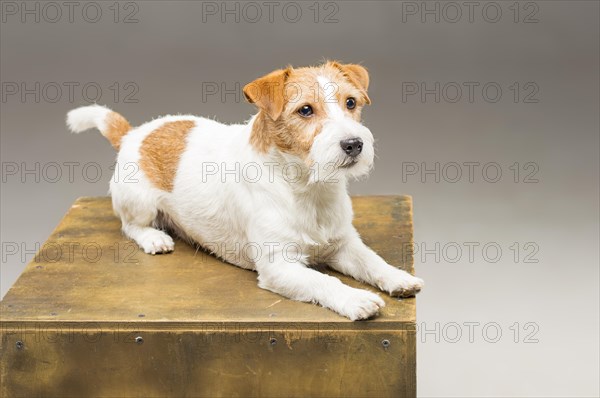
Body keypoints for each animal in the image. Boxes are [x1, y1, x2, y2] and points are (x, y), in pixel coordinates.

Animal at [67, 60, 422, 320]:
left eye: (351, 102)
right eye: (305, 110)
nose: (354, 144)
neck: (306, 187)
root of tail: (134, 133)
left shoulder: (343, 244)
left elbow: (371, 260)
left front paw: (396, 277)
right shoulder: (279, 266)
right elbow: (322, 279)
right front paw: (354, 298)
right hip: (137, 200)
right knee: (130, 226)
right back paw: (154, 237)